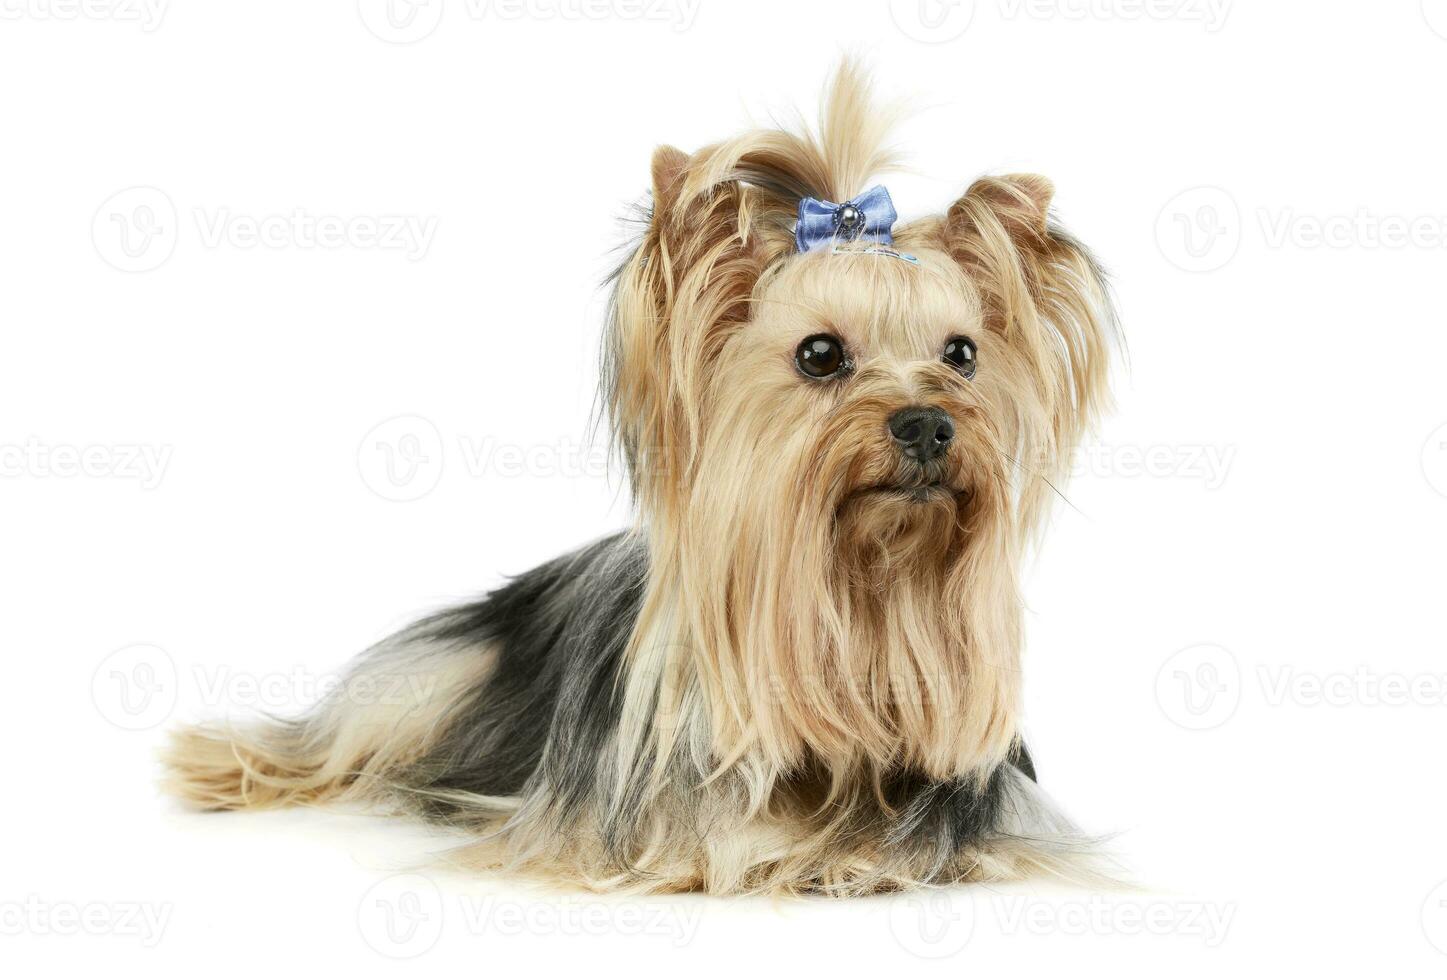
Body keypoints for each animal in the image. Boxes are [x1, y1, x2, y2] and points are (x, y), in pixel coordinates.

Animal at [166, 62, 1117, 891]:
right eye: (819, 354)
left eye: (961, 355)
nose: (928, 422)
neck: (860, 598)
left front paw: (855, 855)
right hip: (441, 673)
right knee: (341, 736)